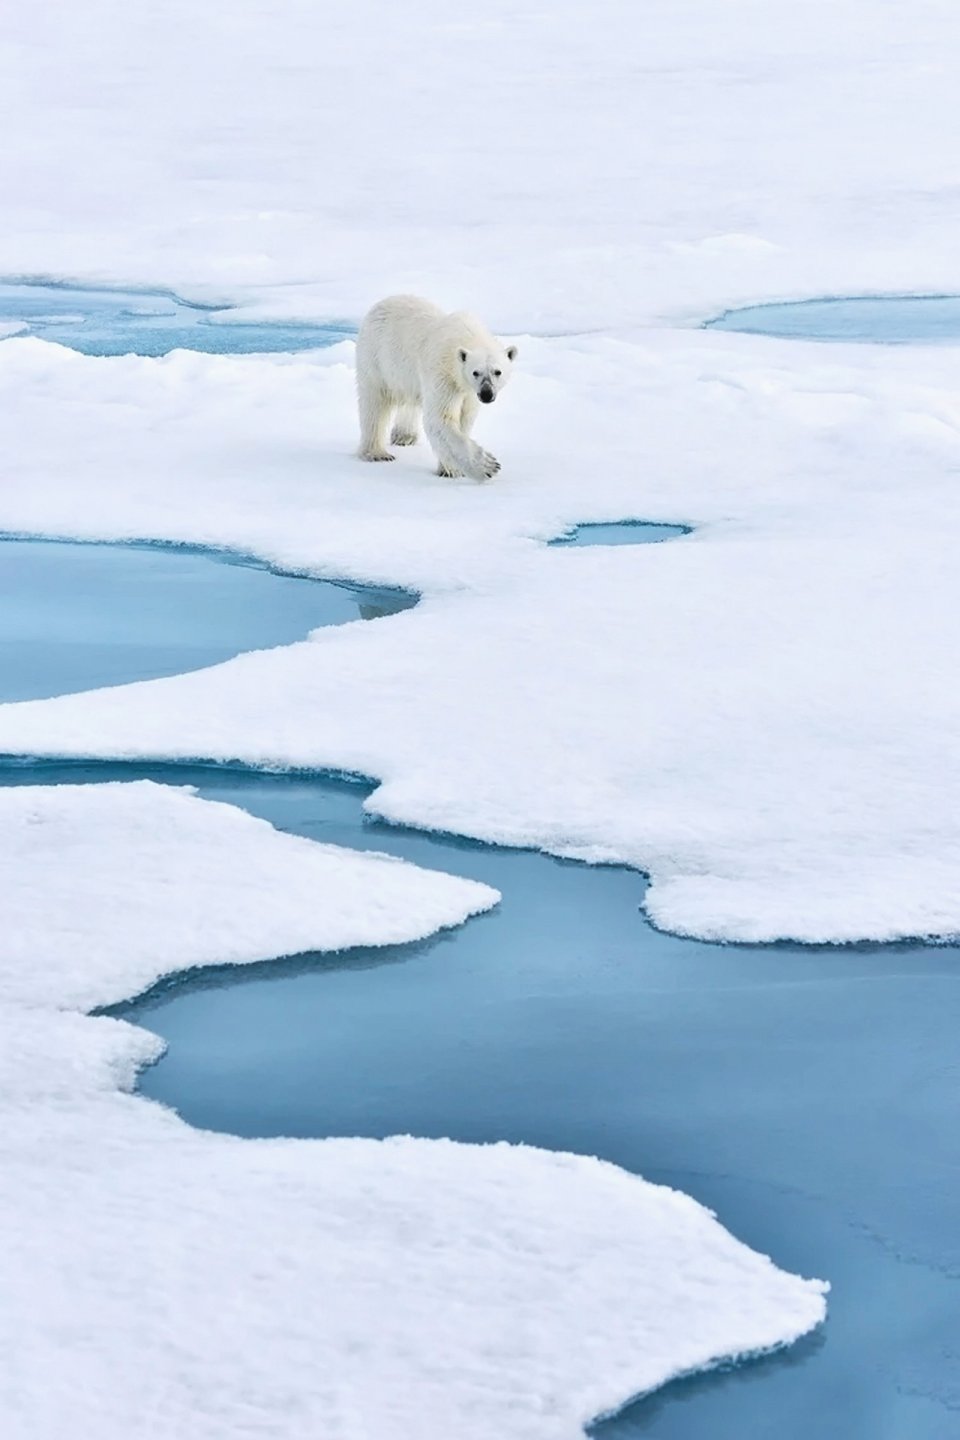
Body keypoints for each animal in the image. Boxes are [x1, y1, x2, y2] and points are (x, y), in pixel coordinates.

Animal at [355, 295, 518, 480]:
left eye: (497, 372)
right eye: (475, 372)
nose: (486, 394)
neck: (466, 336)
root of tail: (381, 303)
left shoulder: (468, 391)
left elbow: (464, 419)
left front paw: (452, 469)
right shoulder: (443, 374)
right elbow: (441, 418)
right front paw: (486, 466)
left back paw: (404, 436)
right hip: (376, 358)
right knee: (375, 403)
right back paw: (376, 453)